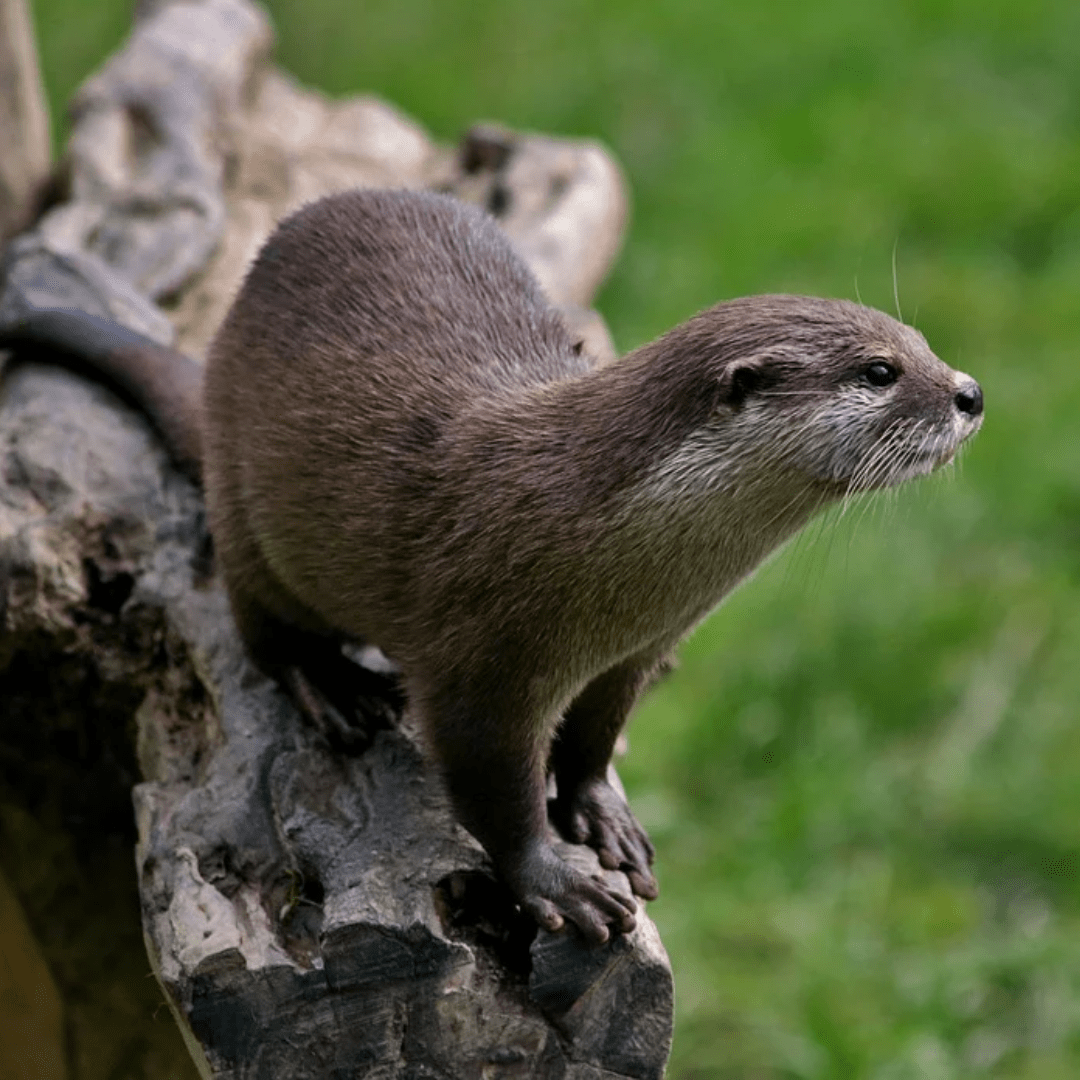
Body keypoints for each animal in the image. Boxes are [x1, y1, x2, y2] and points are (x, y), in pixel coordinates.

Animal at [0, 187, 980, 946]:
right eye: (880, 371)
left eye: (921, 342)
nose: (970, 392)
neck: (606, 548)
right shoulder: (482, 660)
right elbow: (494, 789)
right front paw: (556, 882)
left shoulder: (635, 650)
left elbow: (592, 740)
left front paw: (600, 813)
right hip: (248, 513)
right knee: (259, 627)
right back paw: (329, 688)